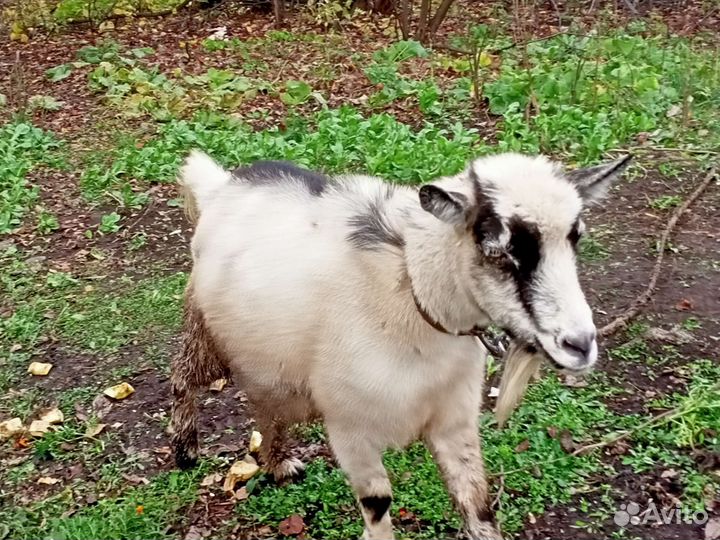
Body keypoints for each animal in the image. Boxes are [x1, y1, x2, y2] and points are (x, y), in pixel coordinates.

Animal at [169, 150, 630, 540]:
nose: (580, 344)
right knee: (183, 378)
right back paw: (186, 450)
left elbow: (477, 504)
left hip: (271, 364)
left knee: (267, 409)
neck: (411, 292)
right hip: (204, 331)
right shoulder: (350, 428)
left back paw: (278, 464)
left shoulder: (454, 418)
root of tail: (220, 185)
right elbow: (378, 503)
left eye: (575, 238)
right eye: (496, 250)